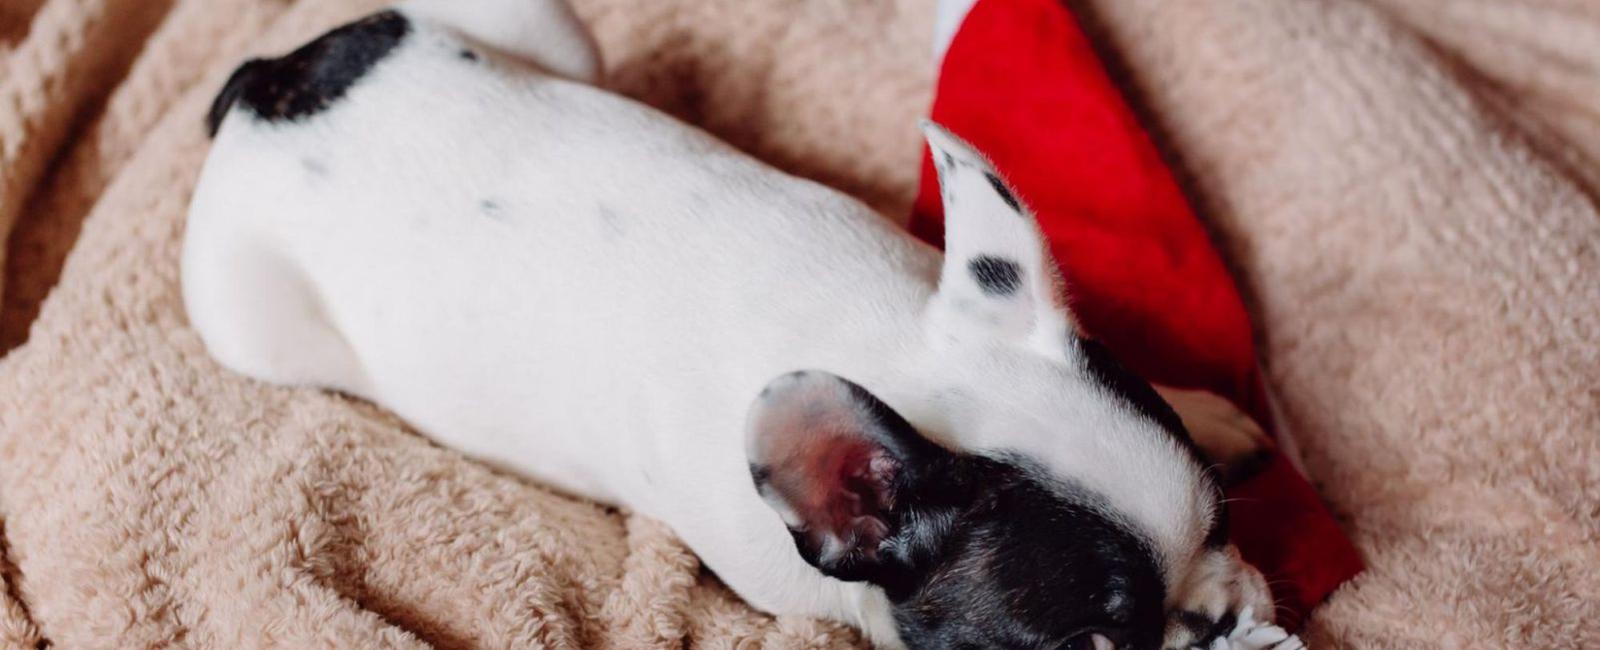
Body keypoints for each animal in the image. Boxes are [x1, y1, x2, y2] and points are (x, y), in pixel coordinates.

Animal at [181, 2, 1292, 646]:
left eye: (1222, 527)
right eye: (1100, 648)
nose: (1217, 615)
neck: (896, 356)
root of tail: (267, 90)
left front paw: (1206, 410)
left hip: (542, 28)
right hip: (249, 321)